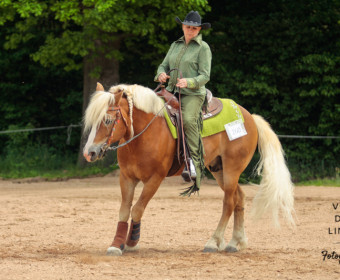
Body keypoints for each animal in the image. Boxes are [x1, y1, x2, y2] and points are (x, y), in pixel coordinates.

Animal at [82, 82, 294, 255]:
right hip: (218, 169)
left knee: (228, 202)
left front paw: (132, 242)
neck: (144, 134)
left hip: (232, 169)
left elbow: (137, 209)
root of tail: (249, 116)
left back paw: (213, 242)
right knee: (239, 198)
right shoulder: (126, 177)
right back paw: (235, 242)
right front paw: (116, 244)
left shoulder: (155, 178)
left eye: (108, 120)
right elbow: (124, 210)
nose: (89, 153)